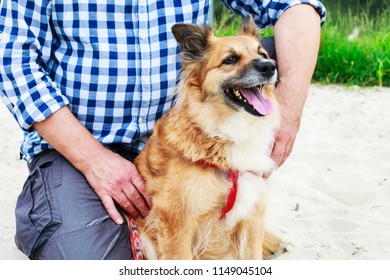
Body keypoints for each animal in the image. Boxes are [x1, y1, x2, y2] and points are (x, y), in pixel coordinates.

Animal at [134, 15, 284, 260]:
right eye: (230, 59)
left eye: (262, 54)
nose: (269, 67)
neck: (226, 135)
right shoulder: (177, 223)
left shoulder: (253, 218)